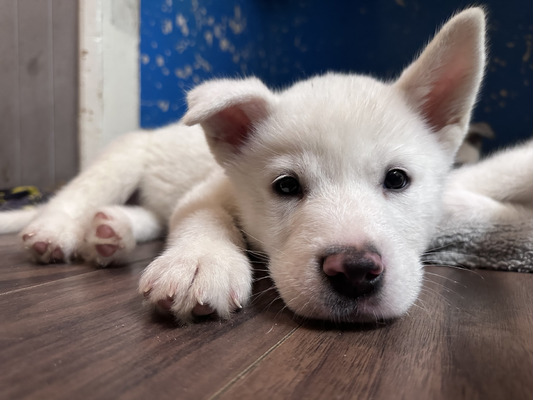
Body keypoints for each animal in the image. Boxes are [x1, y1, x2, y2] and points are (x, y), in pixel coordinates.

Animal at [1, 7, 528, 324]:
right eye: (286, 186)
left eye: (397, 180)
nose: (355, 271)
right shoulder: (208, 191)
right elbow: (204, 219)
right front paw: (201, 262)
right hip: (124, 158)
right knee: (79, 192)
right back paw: (58, 231)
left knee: (147, 214)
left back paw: (110, 232)